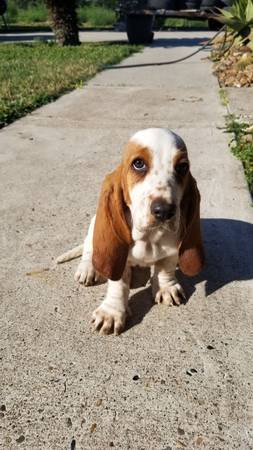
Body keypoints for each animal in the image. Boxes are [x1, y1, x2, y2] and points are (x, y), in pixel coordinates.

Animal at [56, 126, 204, 334]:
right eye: (138, 164)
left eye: (182, 167)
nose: (164, 211)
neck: (149, 238)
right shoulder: (118, 258)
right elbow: (118, 285)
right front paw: (111, 313)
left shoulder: (172, 250)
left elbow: (165, 269)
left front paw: (166, 288)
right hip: (94, 225)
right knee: (89, 249)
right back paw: (88, 269)